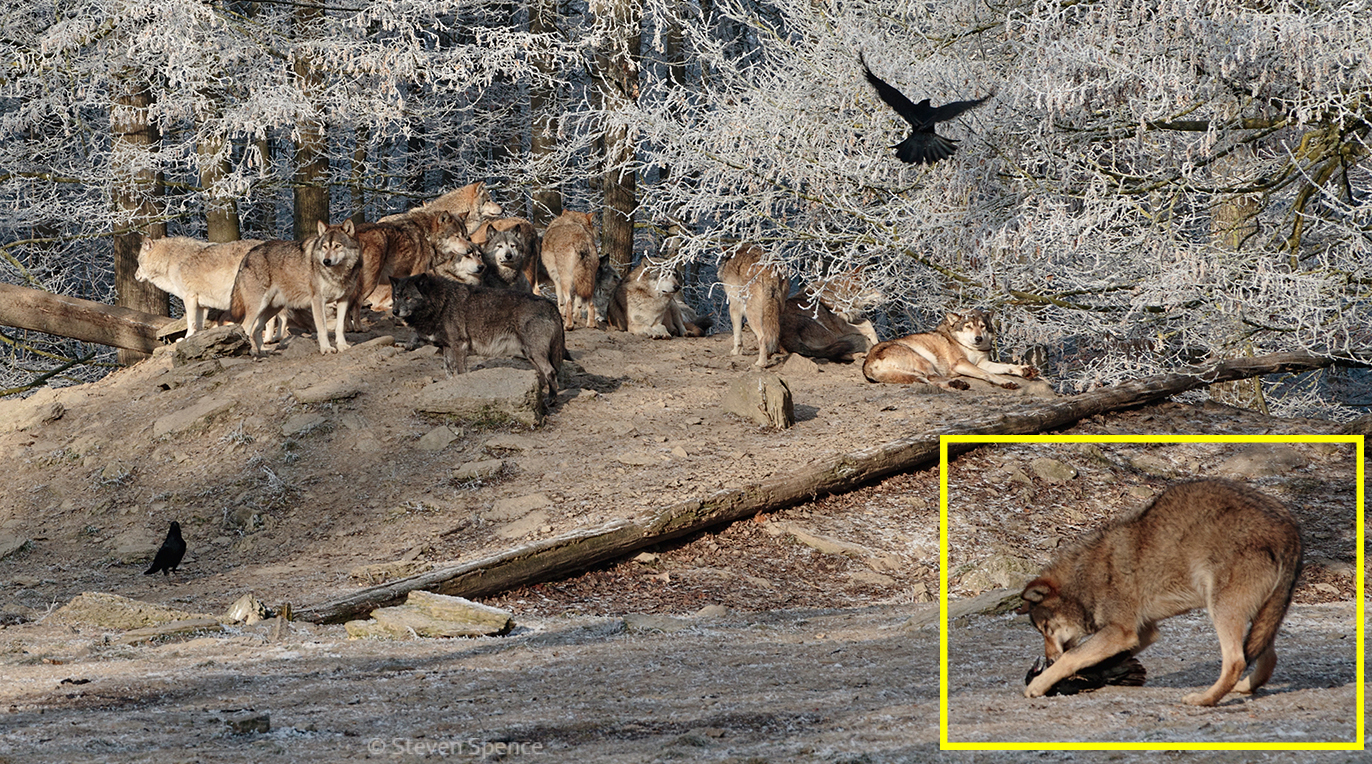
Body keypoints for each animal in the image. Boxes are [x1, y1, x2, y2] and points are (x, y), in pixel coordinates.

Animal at [136, 236, 265, 336]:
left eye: (138, 262)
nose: (135, 275)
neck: (169, 261)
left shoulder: (189, 297)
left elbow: (190, 322)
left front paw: (187, 338)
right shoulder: (203, 305)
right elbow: (199, 325)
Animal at [230, 220, 362, 355]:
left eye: (337, 246)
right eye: (325, 247)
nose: (326, 261)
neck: (338, 274)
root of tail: (247, 255)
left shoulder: (343, 300)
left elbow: (340, 327)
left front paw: (342, 346)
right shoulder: (318, 301)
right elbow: (323, 329)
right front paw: (326, 348)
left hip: (272, 308)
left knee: (256, 329)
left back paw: (264, 351)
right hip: (259, 307)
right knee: (246, 328)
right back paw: (251, 353)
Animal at [389, 273, 564, 402]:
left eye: (408, 298)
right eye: (396, 297)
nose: (394, 312)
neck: (440, 303)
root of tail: (550, 303)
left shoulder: (459, 346)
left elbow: (460, 372)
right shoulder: (447, 348)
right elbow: (448, 371)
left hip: (534, 352)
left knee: (550, 371)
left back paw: (551, 399)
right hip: (529, 353)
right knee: (542, 373)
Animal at [862, 310, 1035, 389]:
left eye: (982, 327)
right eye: (968, 327)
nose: (978, 338)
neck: (965, 345)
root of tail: (868, 365)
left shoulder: (982, 363)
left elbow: (1006, 366)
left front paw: (1023, 370)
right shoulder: (961, 364)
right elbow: (988, 374)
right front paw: (1006, 381)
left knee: (927, 380)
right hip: (924, 360)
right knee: (931, 378)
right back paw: (957, 383)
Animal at [1019, 479, 1303, 706]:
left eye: (1046, 629)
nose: (1049, 659)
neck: (1086, 578)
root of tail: (1288, 528)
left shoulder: (1120, 632)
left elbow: (1072, 656)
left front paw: (1038, 685)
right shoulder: (1143, 632)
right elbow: (1090, 659)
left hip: (1222, 611)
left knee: (1236, 661)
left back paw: (1204, 700)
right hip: (1259, 617)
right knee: (1268, 658)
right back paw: (1243, 688)